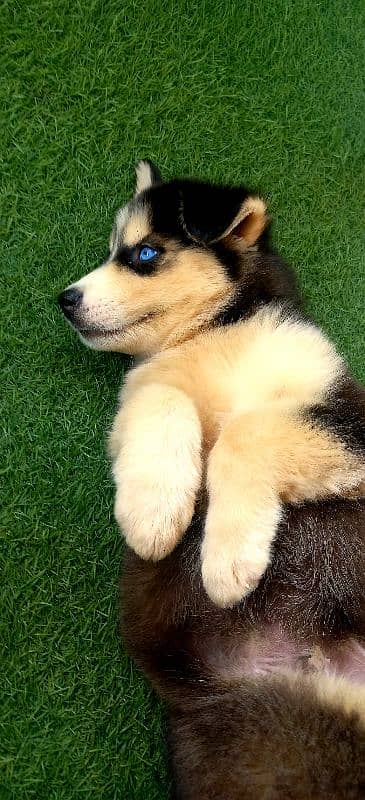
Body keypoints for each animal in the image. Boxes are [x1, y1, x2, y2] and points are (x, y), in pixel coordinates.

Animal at [59, 159, 364, 608]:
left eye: (145, 252)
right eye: (111, 252)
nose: (65, 299)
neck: (214, 332)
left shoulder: (346, 412)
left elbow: (247, 429)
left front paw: (228, 557)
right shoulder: (135, 402)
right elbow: (163, 396)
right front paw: (153, 511)